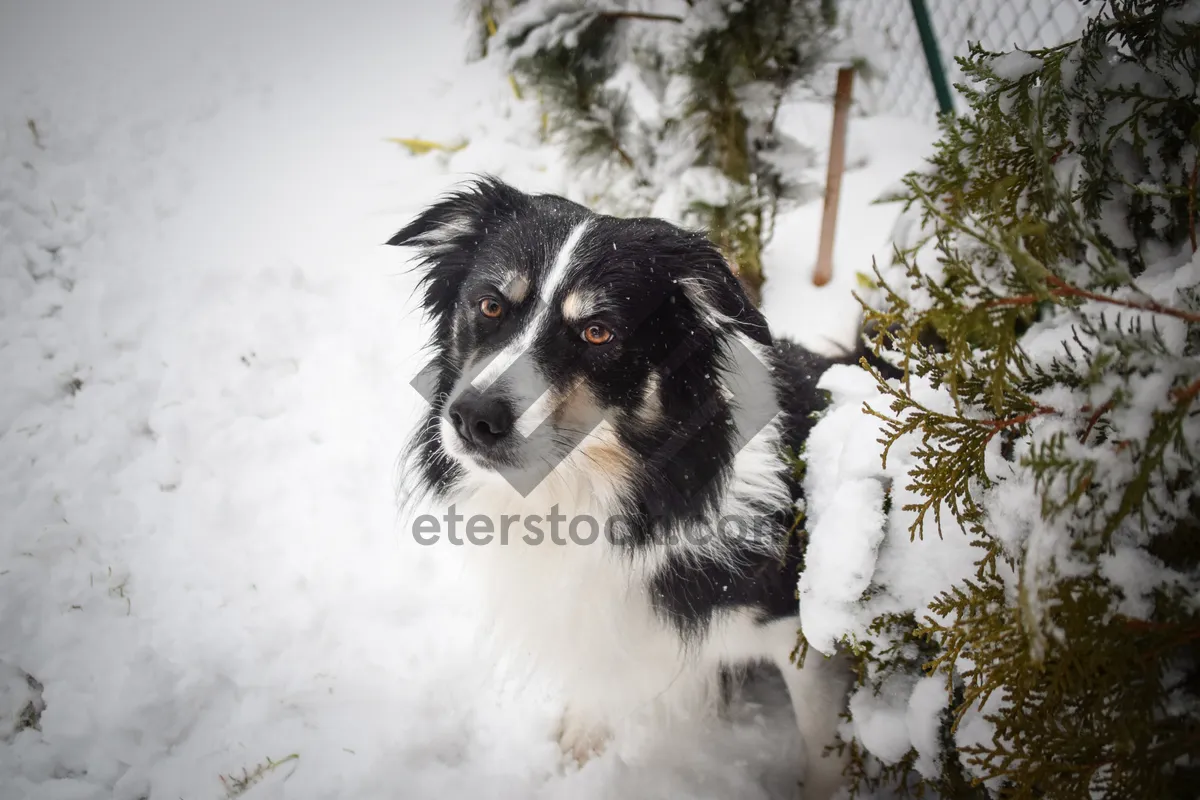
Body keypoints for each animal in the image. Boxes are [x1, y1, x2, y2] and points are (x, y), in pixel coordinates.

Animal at [396, 178, 864, 796]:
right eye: (490, 304)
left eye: (599, 332)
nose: (474, 419)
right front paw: (578, 747)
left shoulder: (802, 633)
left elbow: (821, 749)